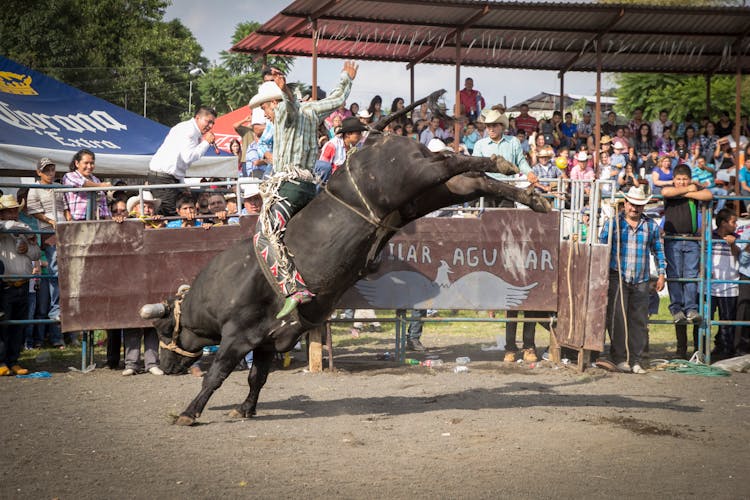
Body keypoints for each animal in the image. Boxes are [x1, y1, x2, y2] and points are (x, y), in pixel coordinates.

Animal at [145, 133, 552, 426]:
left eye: (164, 330)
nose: (164, 366)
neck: (223, 288)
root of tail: (380, 141)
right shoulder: (265, 342)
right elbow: (256, 378)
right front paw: (245, 409)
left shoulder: (237, 337)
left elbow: (216, 375)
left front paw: (189, 413)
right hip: (426, 194)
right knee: (471, 181)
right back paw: (533, 196)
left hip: (414, 176)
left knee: (452, 162)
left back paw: (503, 164)